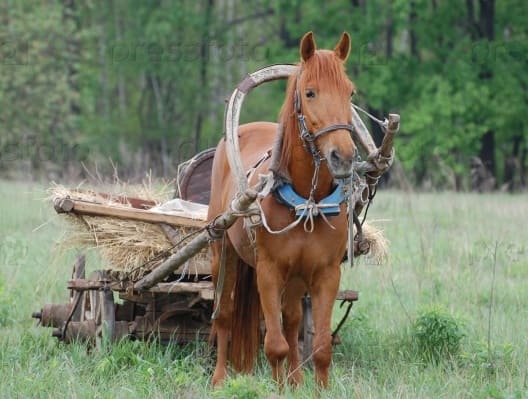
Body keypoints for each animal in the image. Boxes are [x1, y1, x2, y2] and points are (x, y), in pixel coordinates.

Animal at [208, 32, 356, 390]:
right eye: (310, 92)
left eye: (350, 92)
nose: (343, 156)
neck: (305, 199)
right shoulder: (269, 271)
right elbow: (274, 345)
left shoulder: (325, 273)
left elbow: (319, 348)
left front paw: (311, 386)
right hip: (222, 251)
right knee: (225, 314)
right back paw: (219, 378)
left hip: (297, 275)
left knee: (291, 320)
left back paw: (296, 379)